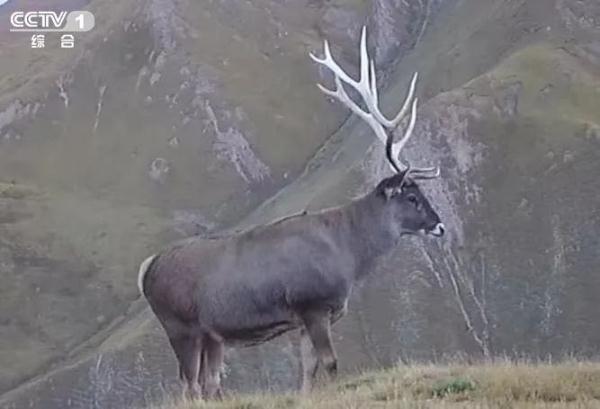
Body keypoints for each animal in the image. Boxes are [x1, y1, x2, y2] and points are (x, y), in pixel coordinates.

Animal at [138, 27, 442, 400]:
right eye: (412, 197)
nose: (440, 225)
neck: (348, 252)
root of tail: (146, 269)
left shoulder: (306, 317)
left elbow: (308, 367)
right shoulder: (313, 303)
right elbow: (330, 363)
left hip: (211, 335)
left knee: (208, 383)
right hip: (180, 326)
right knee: (189, 384)